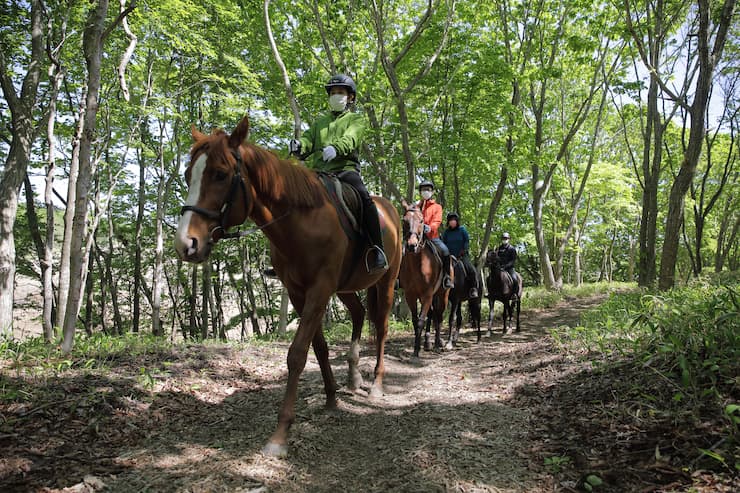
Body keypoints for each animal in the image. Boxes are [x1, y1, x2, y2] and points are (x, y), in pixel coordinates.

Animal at [173, 116, 402, 458]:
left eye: (220, 174)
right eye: (189, 175)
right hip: (346, 288)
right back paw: (353, 377)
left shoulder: (319, 289)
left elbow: (296, 354)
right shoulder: (298, 292)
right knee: (359, 314)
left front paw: (280, 434)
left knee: (382, 327)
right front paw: (331, 398)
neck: (302, 219)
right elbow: (318, 348)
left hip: (385, 282)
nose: (186, 244)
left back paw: (375, 384)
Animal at [398, 202, 450, 356]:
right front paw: (418, 347)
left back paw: (438, 344)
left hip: (442, 295)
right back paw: (428, 343)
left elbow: (421, 320)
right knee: (433, 314)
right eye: (404, 220)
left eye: (422, 221)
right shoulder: (411, 295)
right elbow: (416, 321)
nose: (411, 245)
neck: (418, 263)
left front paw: (416, 351)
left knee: (439, 317)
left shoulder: (427, 294)